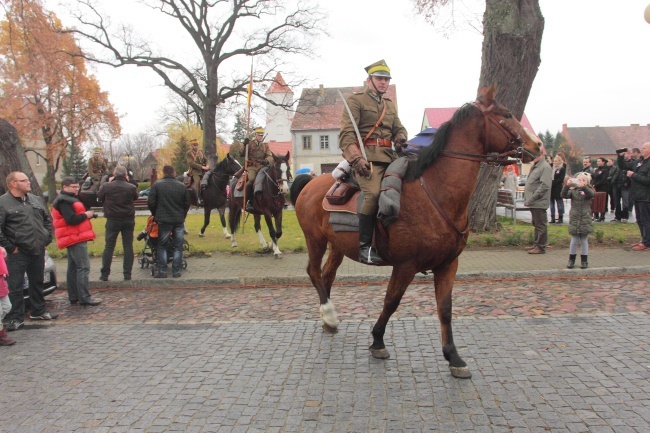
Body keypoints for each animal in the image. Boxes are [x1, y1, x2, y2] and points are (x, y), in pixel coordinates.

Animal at [288, 86, 536, 376]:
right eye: (506, 115)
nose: (537, 146)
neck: (437, 193)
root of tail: (310, 182)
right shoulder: (406, 265)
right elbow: (391, 302)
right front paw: (377, 341)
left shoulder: (448, 264)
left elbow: (445, 309)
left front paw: (453, 356)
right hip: (314, 240)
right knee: (314, 272)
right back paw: (328, 312)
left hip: (337, 246)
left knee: (326, 275)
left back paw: (328, 319)